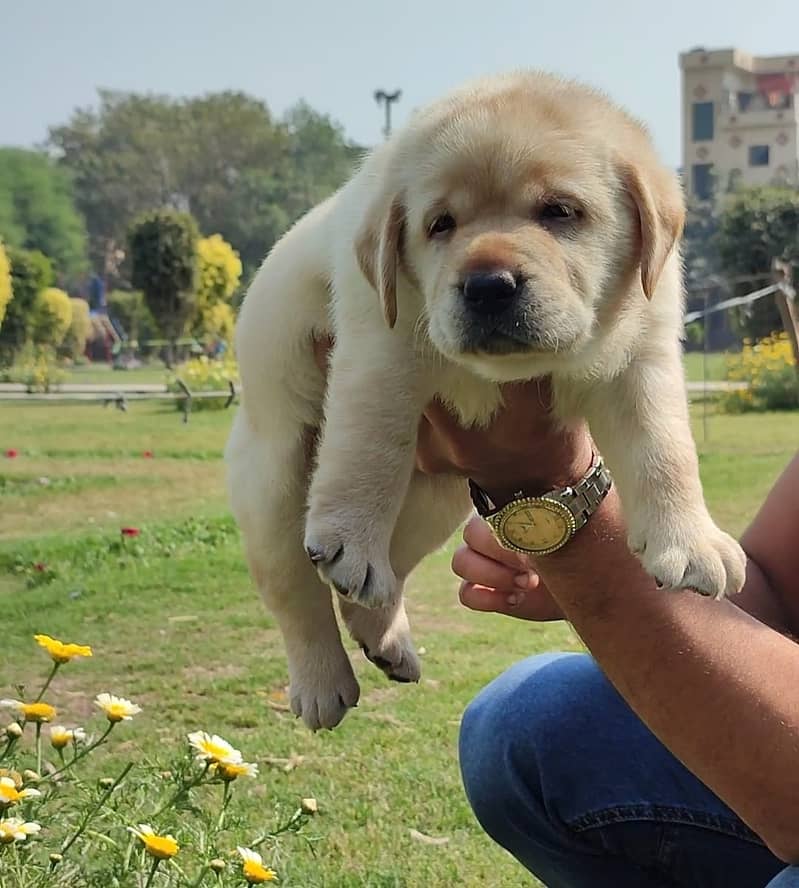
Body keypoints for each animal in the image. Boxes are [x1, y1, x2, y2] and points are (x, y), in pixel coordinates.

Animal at [227, 73, 752, 732]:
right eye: (440, 224)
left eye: (559, 212)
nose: (487, 285)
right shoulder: (380, 346)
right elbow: (370, 450)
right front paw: (351, 539)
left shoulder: (643, 354)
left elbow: (666, 450)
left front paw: (692, 542)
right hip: (272, 480)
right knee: (295, 590)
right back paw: (322, 680)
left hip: (438, 499)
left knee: (388, 572)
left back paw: (384, 635)